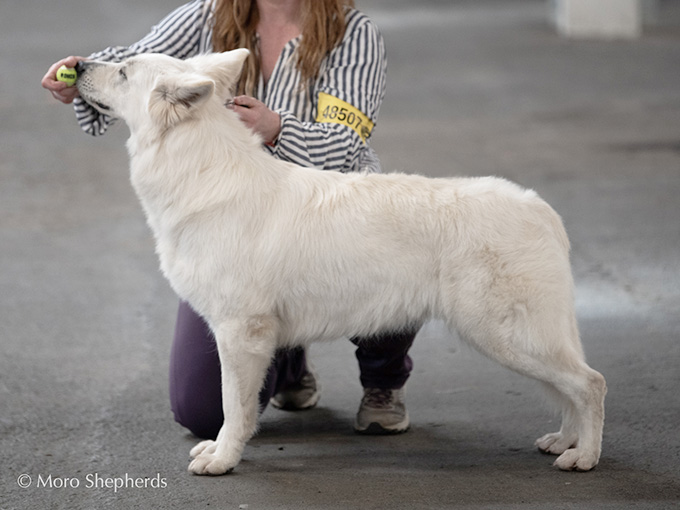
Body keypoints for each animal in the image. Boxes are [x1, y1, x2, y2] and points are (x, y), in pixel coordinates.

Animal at [77, 49, 608, 476]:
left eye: (123, 72)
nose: (78, 65)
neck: (202, 172)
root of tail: (541, 208)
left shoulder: (239, 333)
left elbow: (232, 407)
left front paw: (224, 460)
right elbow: (239, 409)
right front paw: (224, 451)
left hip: (508, 336)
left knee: (590, 384)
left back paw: (584, 456)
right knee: (571, 388)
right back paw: (564, 441)